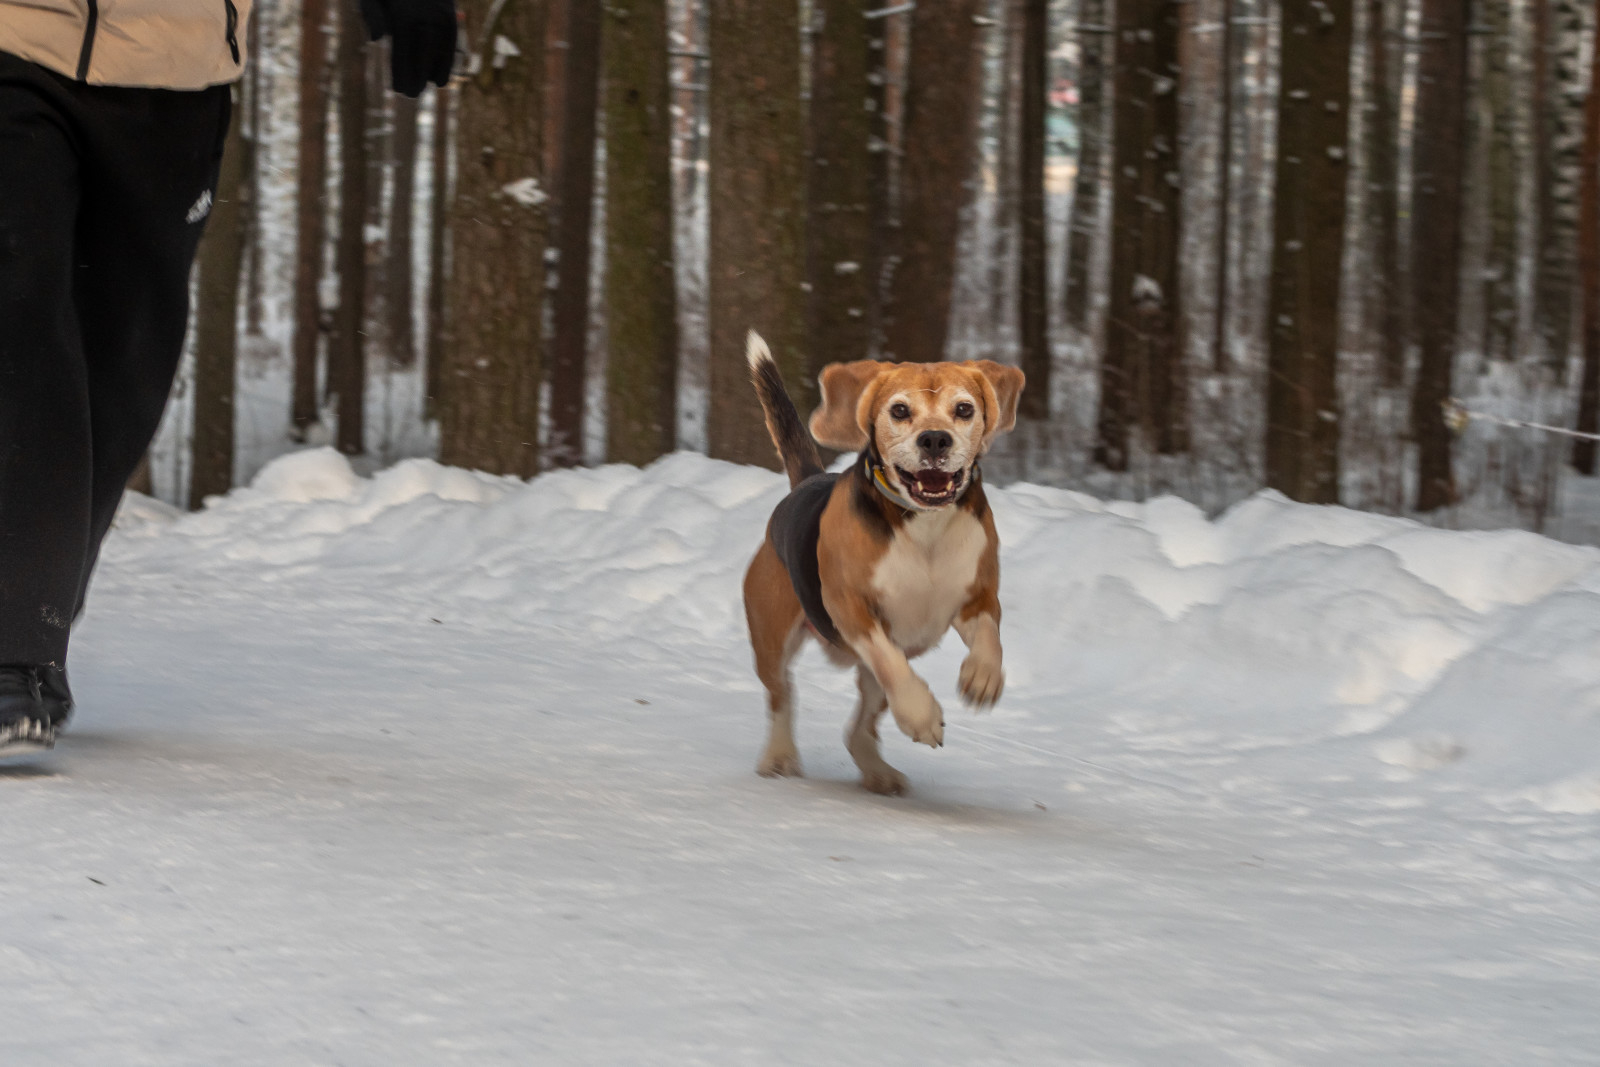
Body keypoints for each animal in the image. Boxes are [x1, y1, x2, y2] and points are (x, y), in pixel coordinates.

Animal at [739, 334, 1024, 793]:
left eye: (964, 409)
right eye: (900, 410)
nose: (935, 440)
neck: (924, 526)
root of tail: (806, 482)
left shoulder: (978, 597)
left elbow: (989, 637)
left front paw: (982, 677)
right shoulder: (850, 608)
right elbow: (890, 663)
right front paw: (922, 716)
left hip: (875, 674)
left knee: (860, 727)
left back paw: (878, 771)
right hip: (772, 638)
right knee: (783, 696)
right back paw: (779, 756)